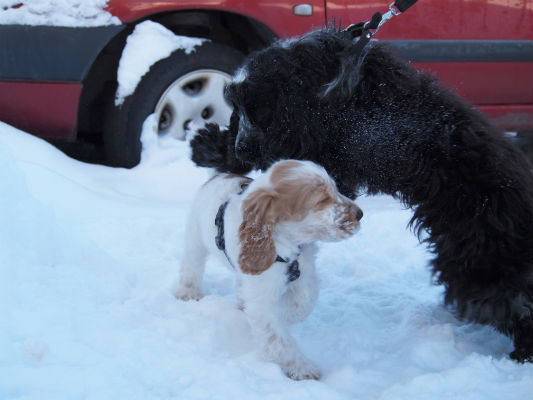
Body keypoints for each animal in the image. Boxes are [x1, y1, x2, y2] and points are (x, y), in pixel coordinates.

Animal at [175, 160, 362, 382]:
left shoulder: (305, 270)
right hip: (194, 238)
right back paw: (188, 293)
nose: (360, 213)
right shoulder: (261, 298)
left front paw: (288, 314)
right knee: (191, 266)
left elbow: (304, 298)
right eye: (322, 199)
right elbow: (278, 338)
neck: (285, 243)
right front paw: (302, 368)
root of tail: (219, 175)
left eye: (336, 189)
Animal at [190, 27, 532, 360]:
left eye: (259, 110)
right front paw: (210, 146)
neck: (315, 85)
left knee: (512, 303)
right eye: (238, 109)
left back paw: (521, 352)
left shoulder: (336, 157)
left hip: (476, 265)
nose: (242, 148)